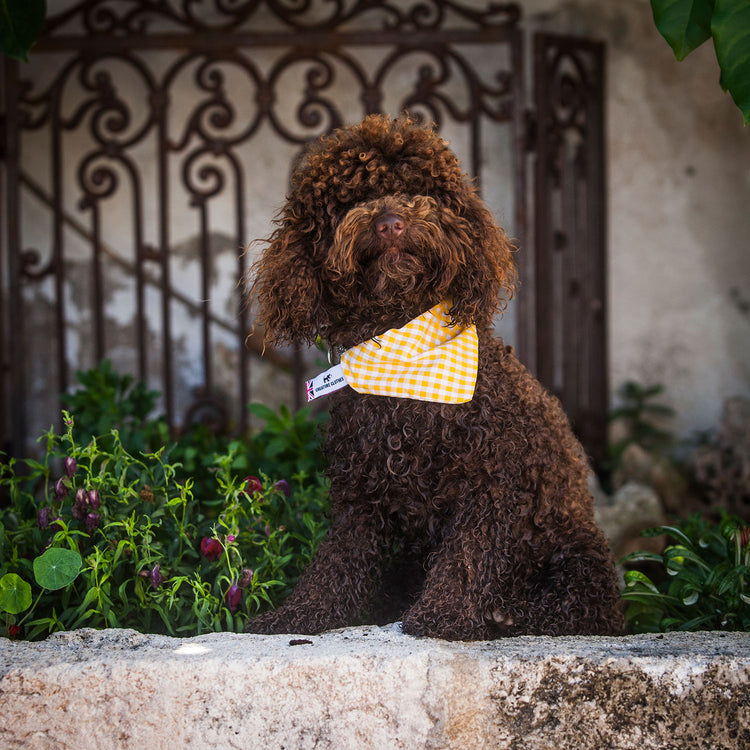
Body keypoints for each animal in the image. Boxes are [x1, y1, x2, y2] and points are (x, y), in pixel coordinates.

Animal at [247, 114, 624, 644]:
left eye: (416, 189)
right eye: (347, 200)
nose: (389, 223)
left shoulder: (493, 483)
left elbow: (467, 556)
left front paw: (444, 615)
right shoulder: (361, 495)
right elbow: (336, 562)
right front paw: (298, 614)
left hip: (576, 566)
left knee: (564, 610)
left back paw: (506, 615)